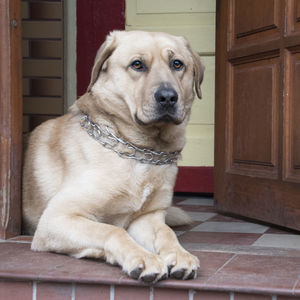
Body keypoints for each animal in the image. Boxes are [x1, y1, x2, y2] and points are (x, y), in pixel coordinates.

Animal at [22, 31, 205, 284]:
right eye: (137, 64)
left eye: (177, 64)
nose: (168, 97)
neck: (139, 151)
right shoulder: (56, 218)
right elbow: (112, 230)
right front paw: (143, 258)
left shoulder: (147, 218)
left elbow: (166, 232)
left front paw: (179, 255)